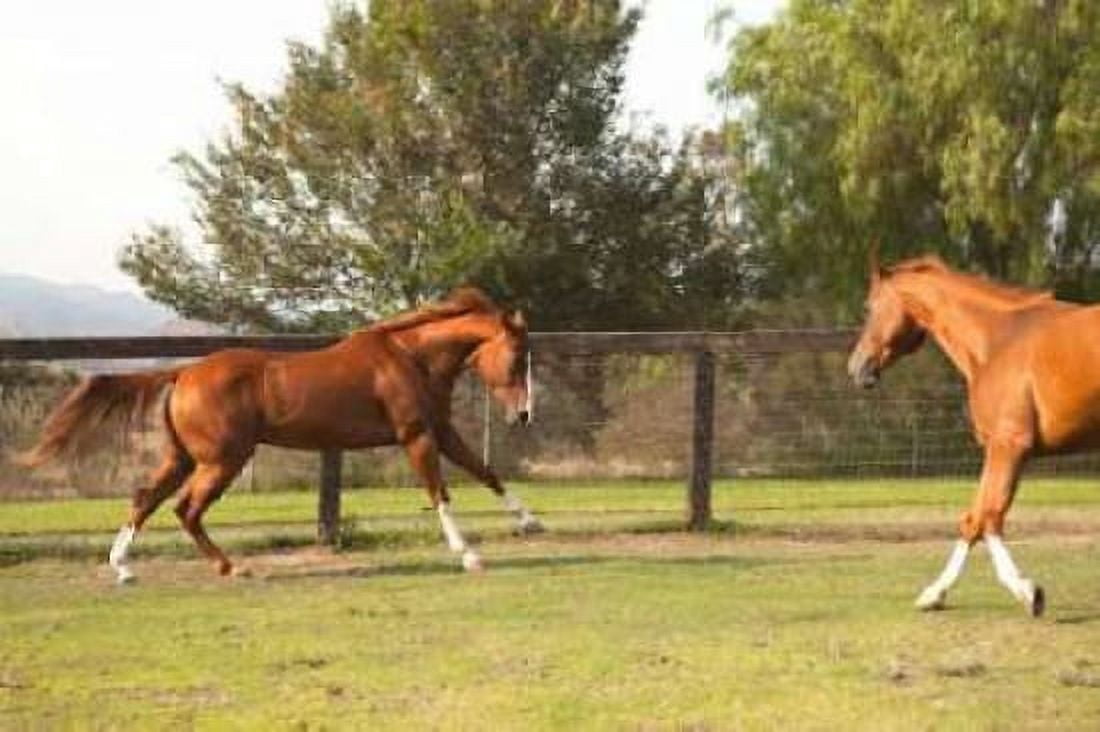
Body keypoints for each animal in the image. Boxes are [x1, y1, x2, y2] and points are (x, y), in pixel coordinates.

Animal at [21, 288, 542, 583]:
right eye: (518, 358)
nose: (524, 415)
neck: (410, 358)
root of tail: (184, 372)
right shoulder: (416, 437)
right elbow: (440, 494)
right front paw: (469, 556)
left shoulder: (442, 431)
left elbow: (488, 473)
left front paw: (532, 523)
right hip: (222, 461)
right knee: (185, 509)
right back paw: (231, 567)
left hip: (186, 458)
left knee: (146, 498)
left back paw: (124, 567)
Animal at [844, 252, 1100, 616]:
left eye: (868, 307)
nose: (856, 368)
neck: (997, 343)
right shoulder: (1000, 448)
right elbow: (973, 520)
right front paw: (933, 594)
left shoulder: (1009, 445)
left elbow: (989, 516)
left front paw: (1028, 592)